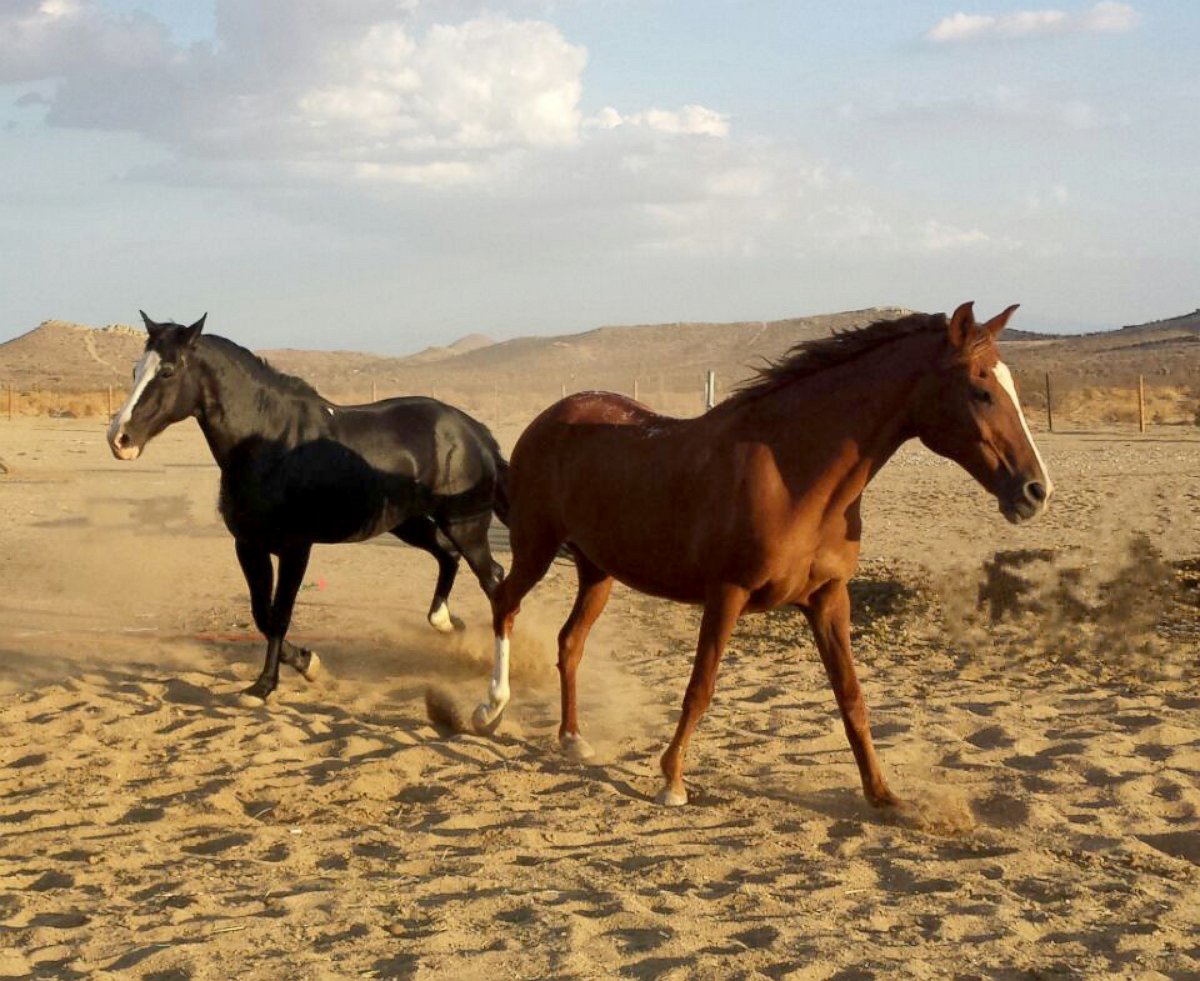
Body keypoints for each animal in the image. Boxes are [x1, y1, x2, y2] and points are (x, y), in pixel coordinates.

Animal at [104, 309, 511, 700]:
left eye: (167, 371)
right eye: (135, 370)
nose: (119, 438)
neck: (269, 443)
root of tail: (474, 431)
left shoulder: (295, 548)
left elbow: (280, 615)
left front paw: (266, 684)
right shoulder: (249, 546)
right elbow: (261, 614)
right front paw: (305, 662)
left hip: (463, 525)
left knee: (493, 579)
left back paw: (495, 690)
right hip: (407, 523)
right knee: (448, 557)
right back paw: (447, 623)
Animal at [468, 302, 1051, 805]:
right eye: (981, 390)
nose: (1035, 491)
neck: (795, 475)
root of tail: (552, 416)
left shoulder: (828, 598)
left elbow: (852, 697)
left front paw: (883, 795)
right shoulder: (726, 594)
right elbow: (700, 688)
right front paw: (672, 781)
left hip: (598, 570)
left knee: (570, 643)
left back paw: (572, 738)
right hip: (537, 547)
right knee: (504, 604)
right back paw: (488, 711)